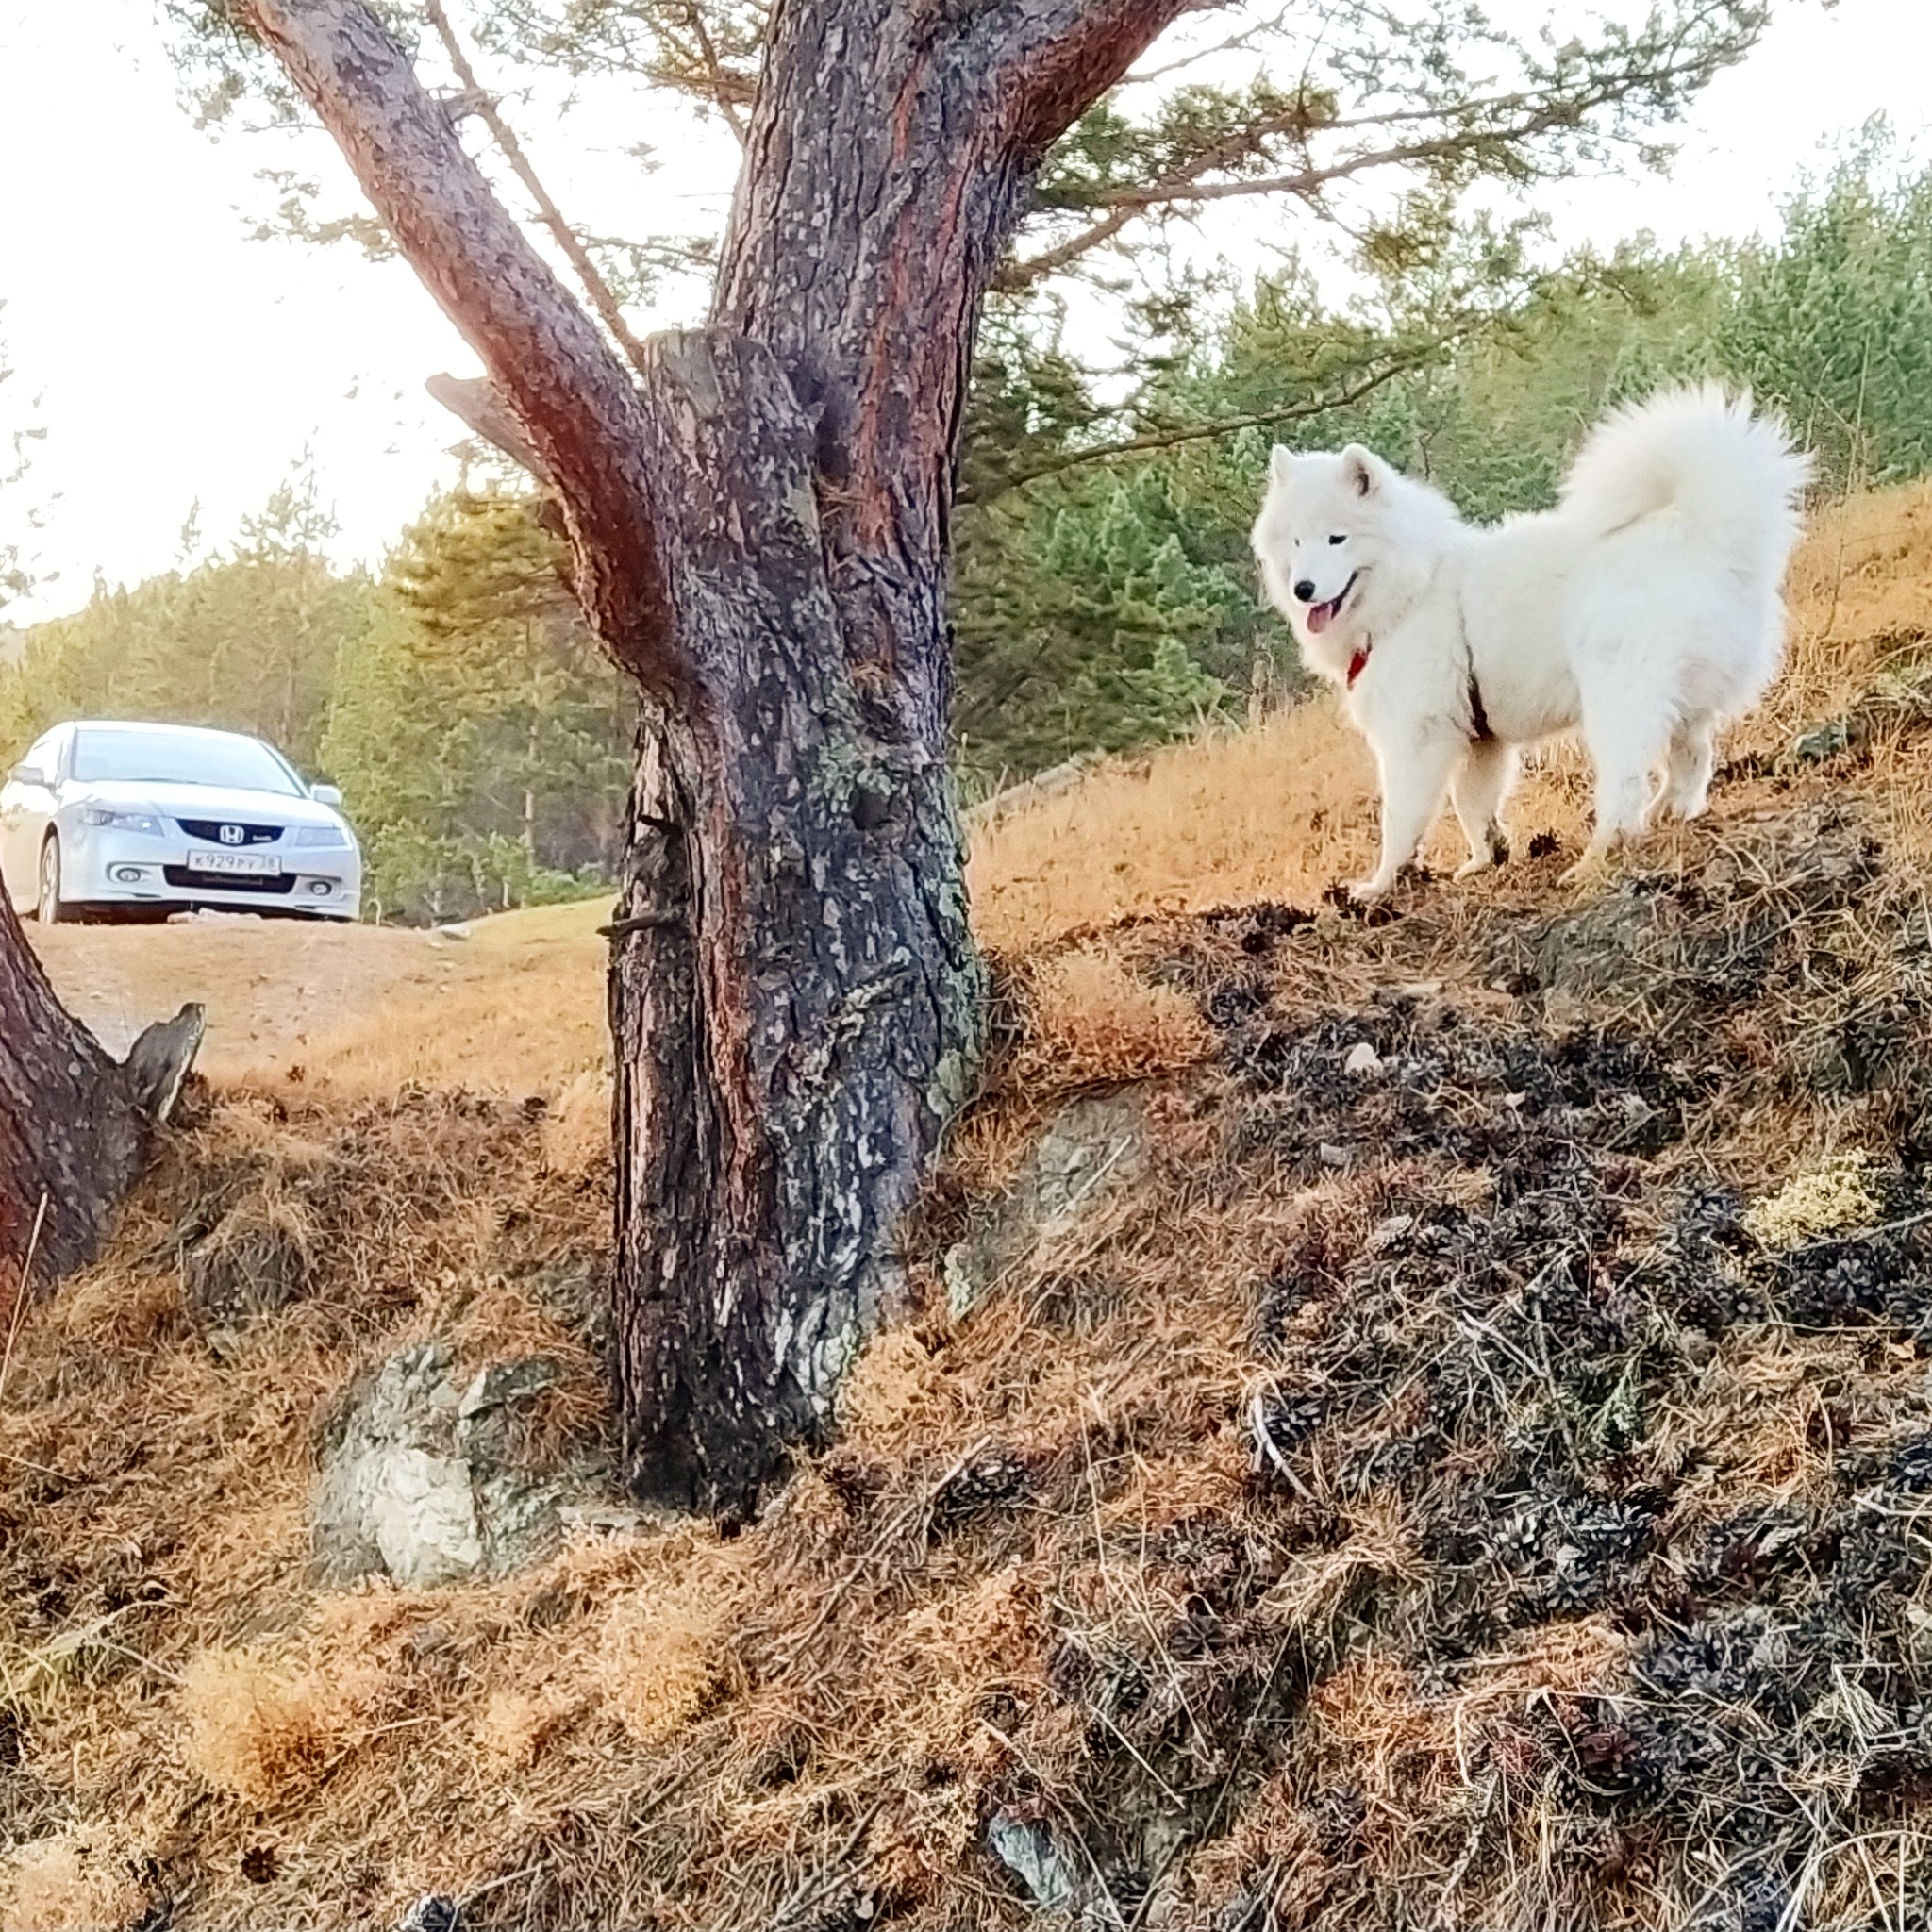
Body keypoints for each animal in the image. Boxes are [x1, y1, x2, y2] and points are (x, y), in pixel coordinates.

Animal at [1252, 391, 1807, 904]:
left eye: (1337, 538)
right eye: (1296, 542)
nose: (1303, 589)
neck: (1414, 587)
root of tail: (1709, 539)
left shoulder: (1417, 734)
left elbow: (1401, 817)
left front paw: (1379, 884)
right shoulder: (1481, 739)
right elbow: (1472, 803)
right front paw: (1485, 859)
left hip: (1617, 697)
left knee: (1625, 786)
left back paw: (1594, 859)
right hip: (1682, 699)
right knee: (1691, 758)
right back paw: (1669, 815)